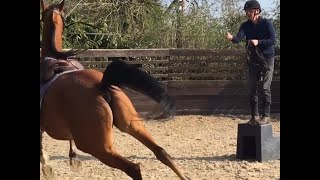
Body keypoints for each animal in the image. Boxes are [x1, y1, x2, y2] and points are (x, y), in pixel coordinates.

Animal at [40, 0, 190, 180]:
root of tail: (101, 85)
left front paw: (47, 166)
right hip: (132, 125)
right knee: (161, 152)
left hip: (98, 147)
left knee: (133, 168)